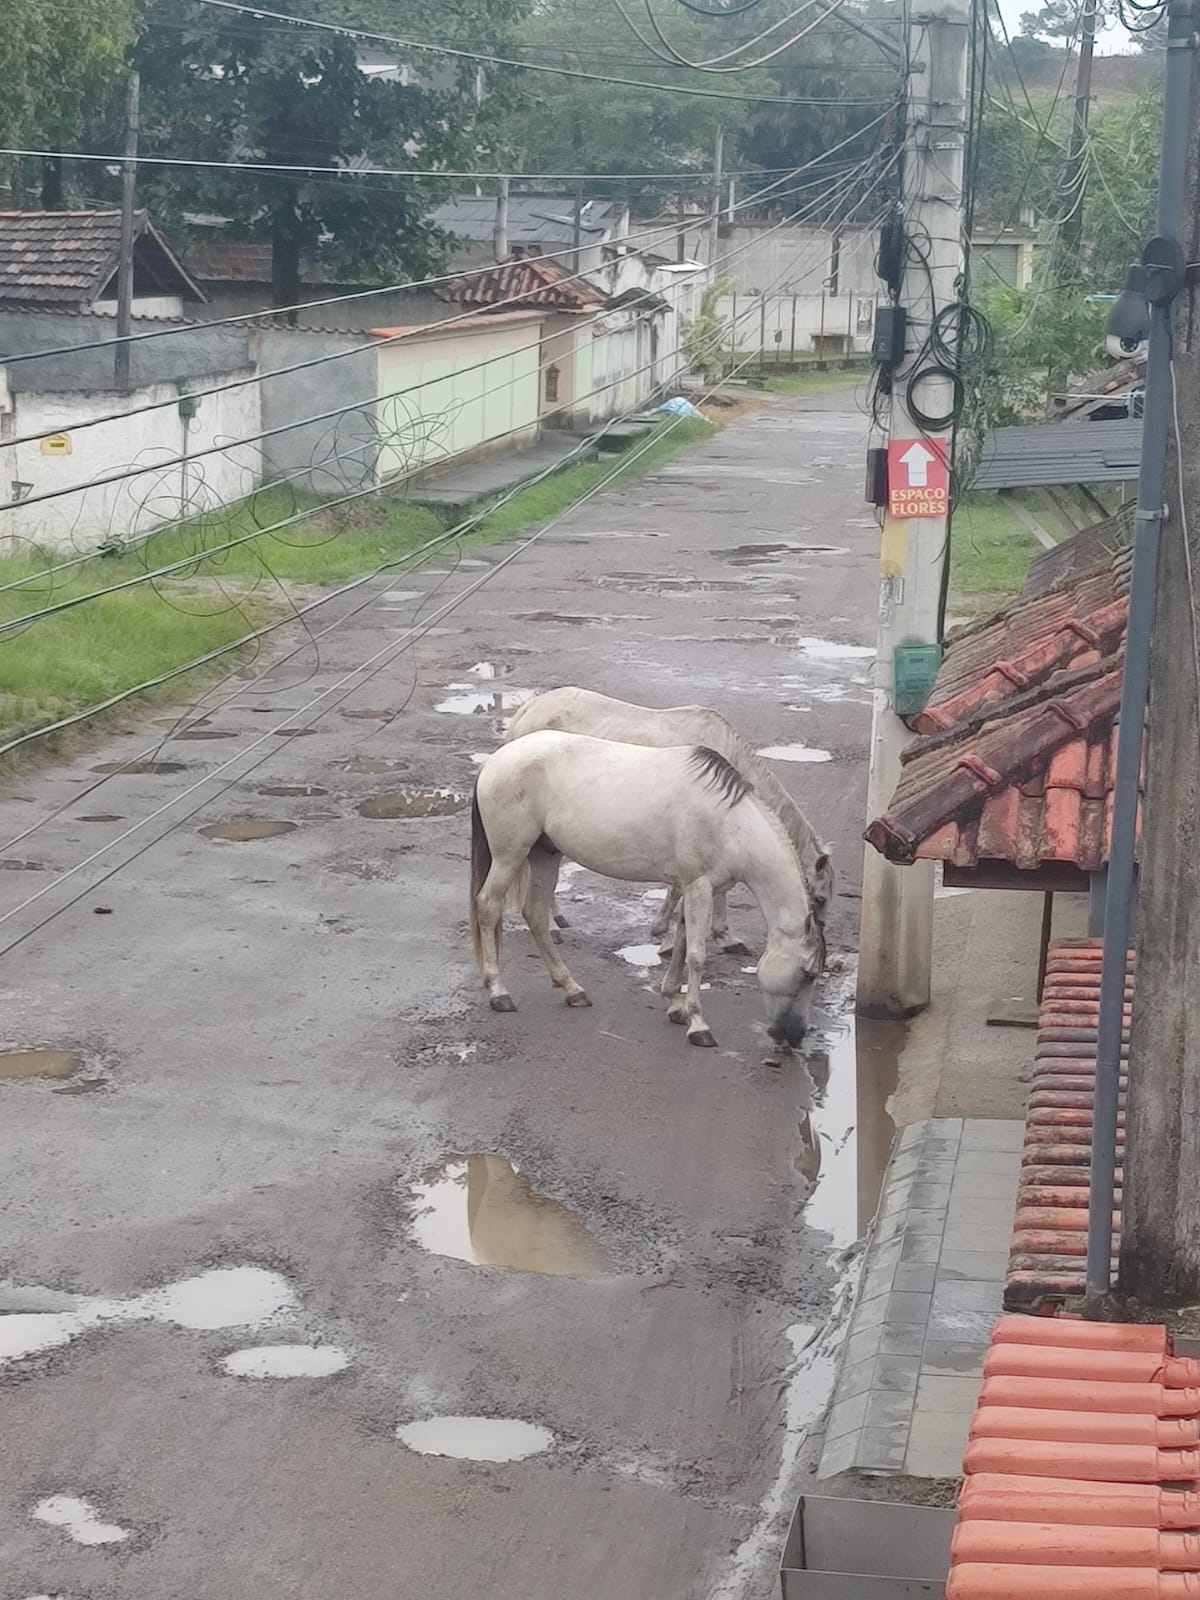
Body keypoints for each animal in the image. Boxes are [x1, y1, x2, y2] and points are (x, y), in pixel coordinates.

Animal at [469, 730, 825, 1050]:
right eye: (807, 975)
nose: (796, 1036)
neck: (730, 825)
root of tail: (496, 760)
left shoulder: (691, 887)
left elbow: (681, 943)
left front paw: (675, 1005)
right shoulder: (699, 887)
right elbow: (697, 955)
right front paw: (698, 1024)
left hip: (545, 855)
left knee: (536, 915)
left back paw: (572, 988)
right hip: (510, 856)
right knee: (488, 906)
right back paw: (499, 992)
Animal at [503, 687, 832, 951]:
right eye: (820, 899)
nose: (816, 940)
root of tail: (529, 709)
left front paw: (719, 934)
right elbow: (682, 889)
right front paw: (681, 931)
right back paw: (552, 925)